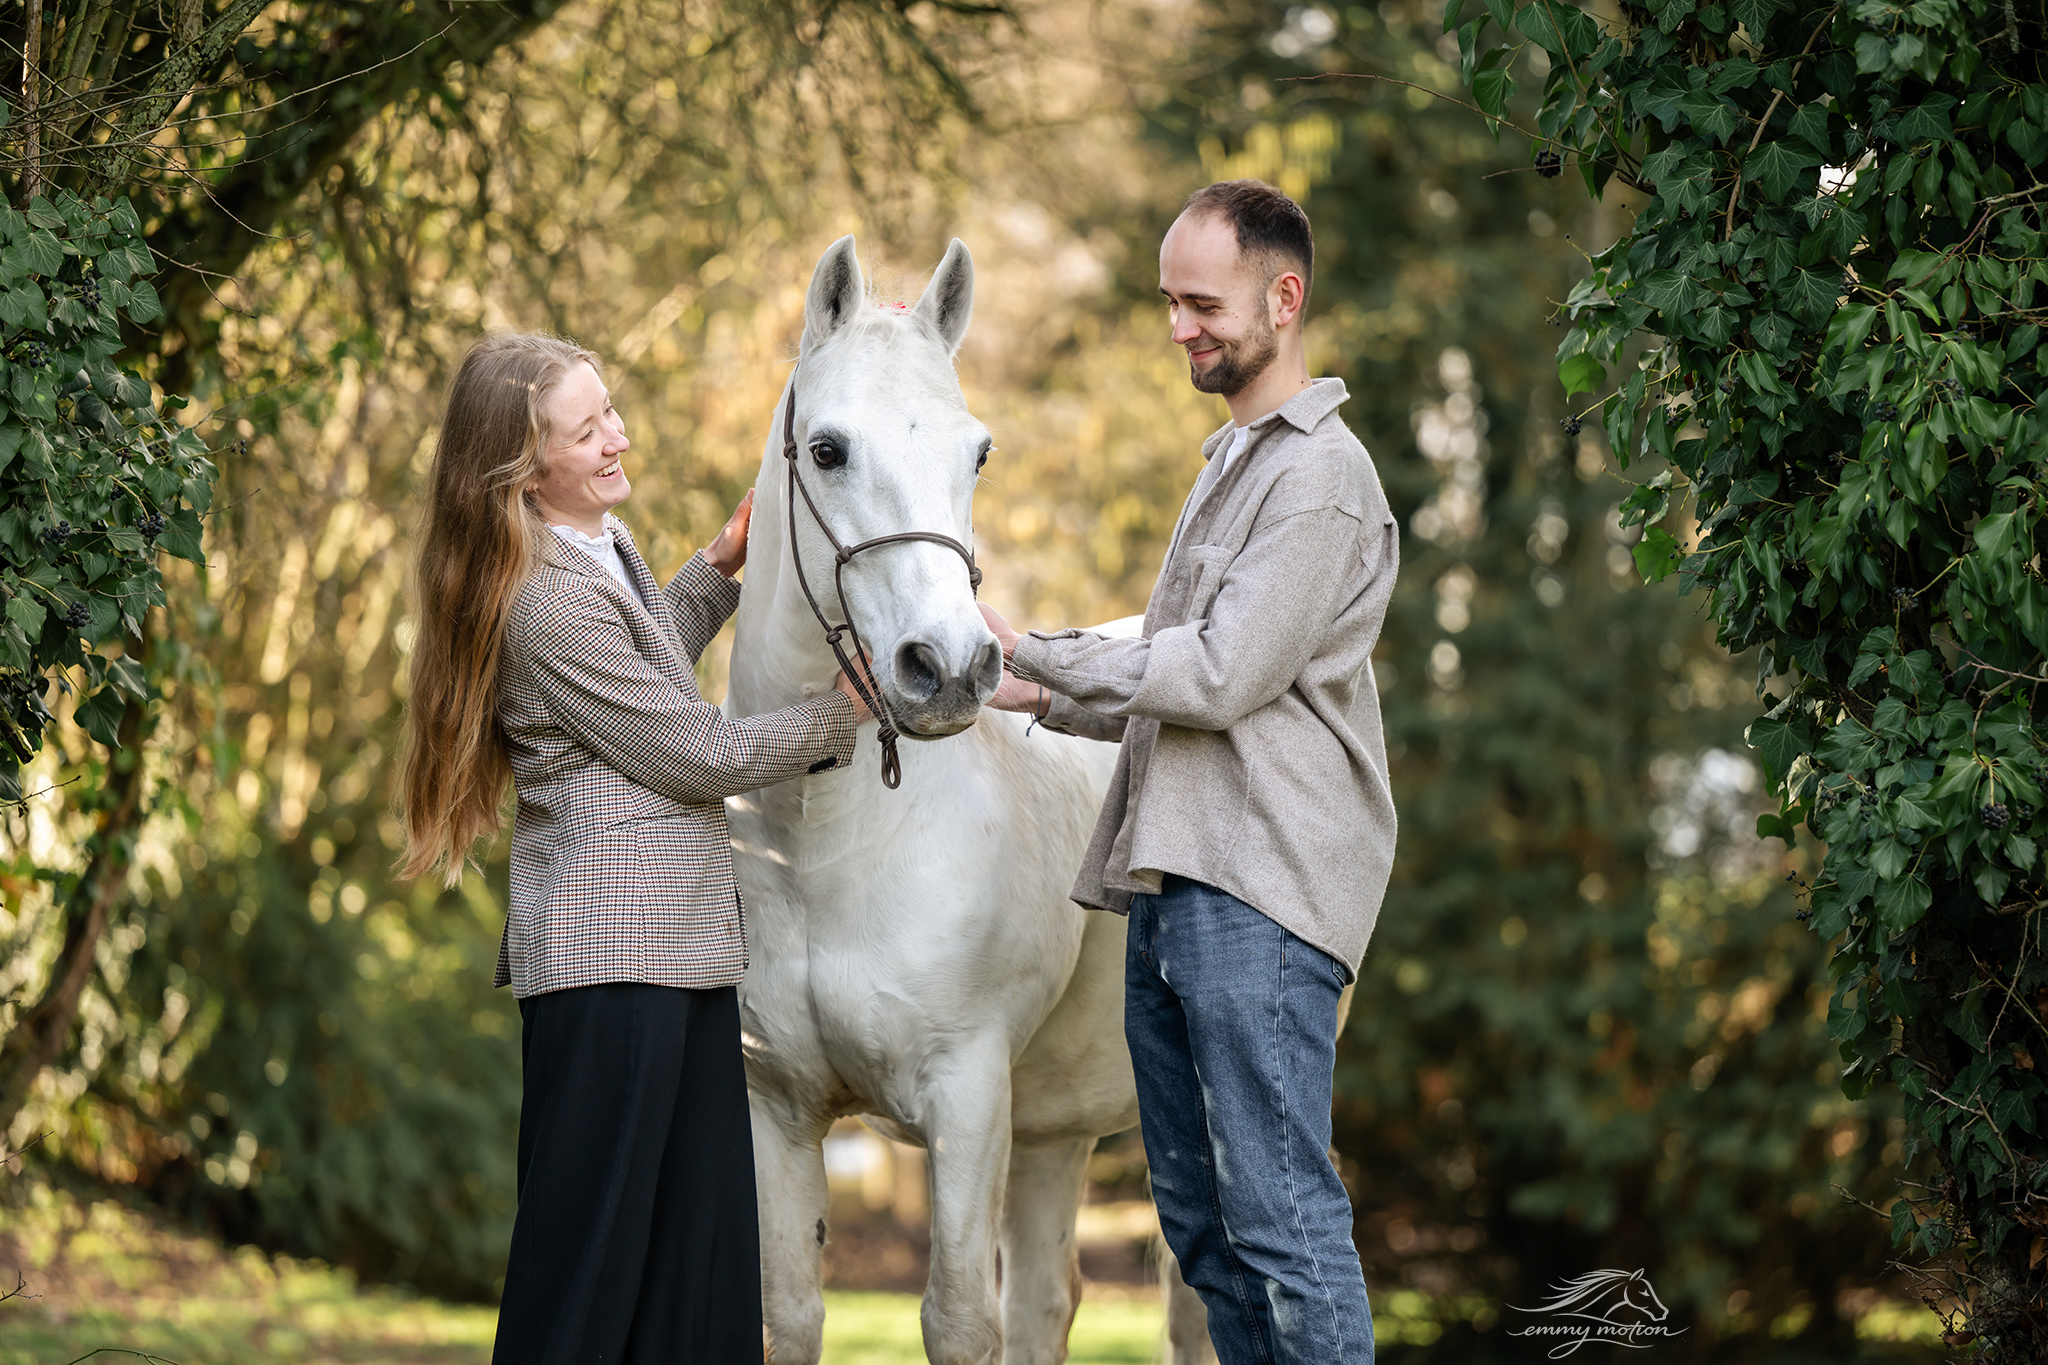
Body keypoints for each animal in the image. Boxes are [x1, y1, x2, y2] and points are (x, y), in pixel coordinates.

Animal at [723, 234, 1214, 1365]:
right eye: (826, 449)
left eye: (977, 453)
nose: (949, 667)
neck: (820, 847)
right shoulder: (777, 1110)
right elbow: (788, 1313)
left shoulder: (966, 1096)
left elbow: (955, 1315)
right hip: (1055, 1128)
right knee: (1047, 1301)